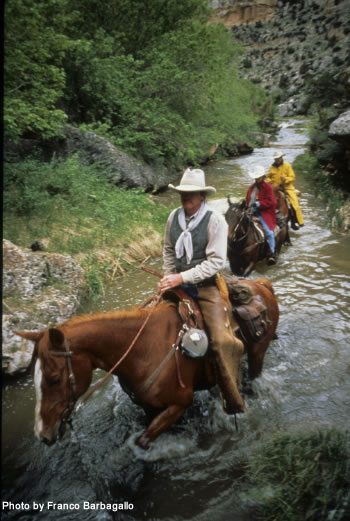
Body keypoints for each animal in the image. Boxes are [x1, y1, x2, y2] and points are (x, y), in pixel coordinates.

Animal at [15, 278, 278, 448]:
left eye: (54, 378)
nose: (43, 435)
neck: (143, 350)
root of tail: (262, 285)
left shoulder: (178, 404)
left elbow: (142, 440)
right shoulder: (148, 406)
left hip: (257, 354)